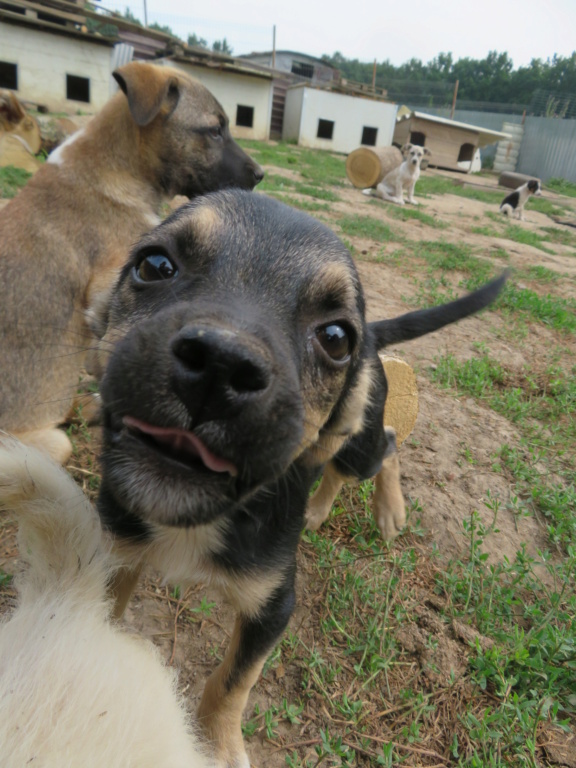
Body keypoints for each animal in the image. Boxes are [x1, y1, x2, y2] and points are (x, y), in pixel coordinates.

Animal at [89, 188, 504, 768]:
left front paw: (217, 746)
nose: (221, 364)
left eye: (334, 338)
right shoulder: (115, 554)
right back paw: (319, 508)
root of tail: (377, 341)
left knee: (387, 445)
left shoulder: (273, 605)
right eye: (155, 265)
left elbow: (233, 682)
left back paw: (389, 511)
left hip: (360, 444)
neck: (197, 518)